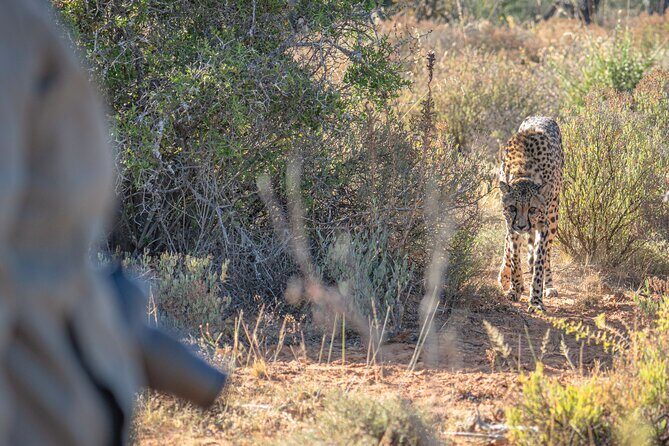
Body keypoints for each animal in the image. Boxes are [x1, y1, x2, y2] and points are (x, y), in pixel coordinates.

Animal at [498, 116, 564, 312]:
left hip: (553, 216)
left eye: (532, 209)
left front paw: (535, 299)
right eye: (513, 208)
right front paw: (515, 287)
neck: (524, 172)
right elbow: (514, 254)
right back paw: (504, 277)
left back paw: (548, 286)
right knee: (509, 244)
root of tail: (542, 116)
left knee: (546, 253)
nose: (521, 225)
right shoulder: (509, 222)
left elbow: (540, 259)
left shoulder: (544, 223)